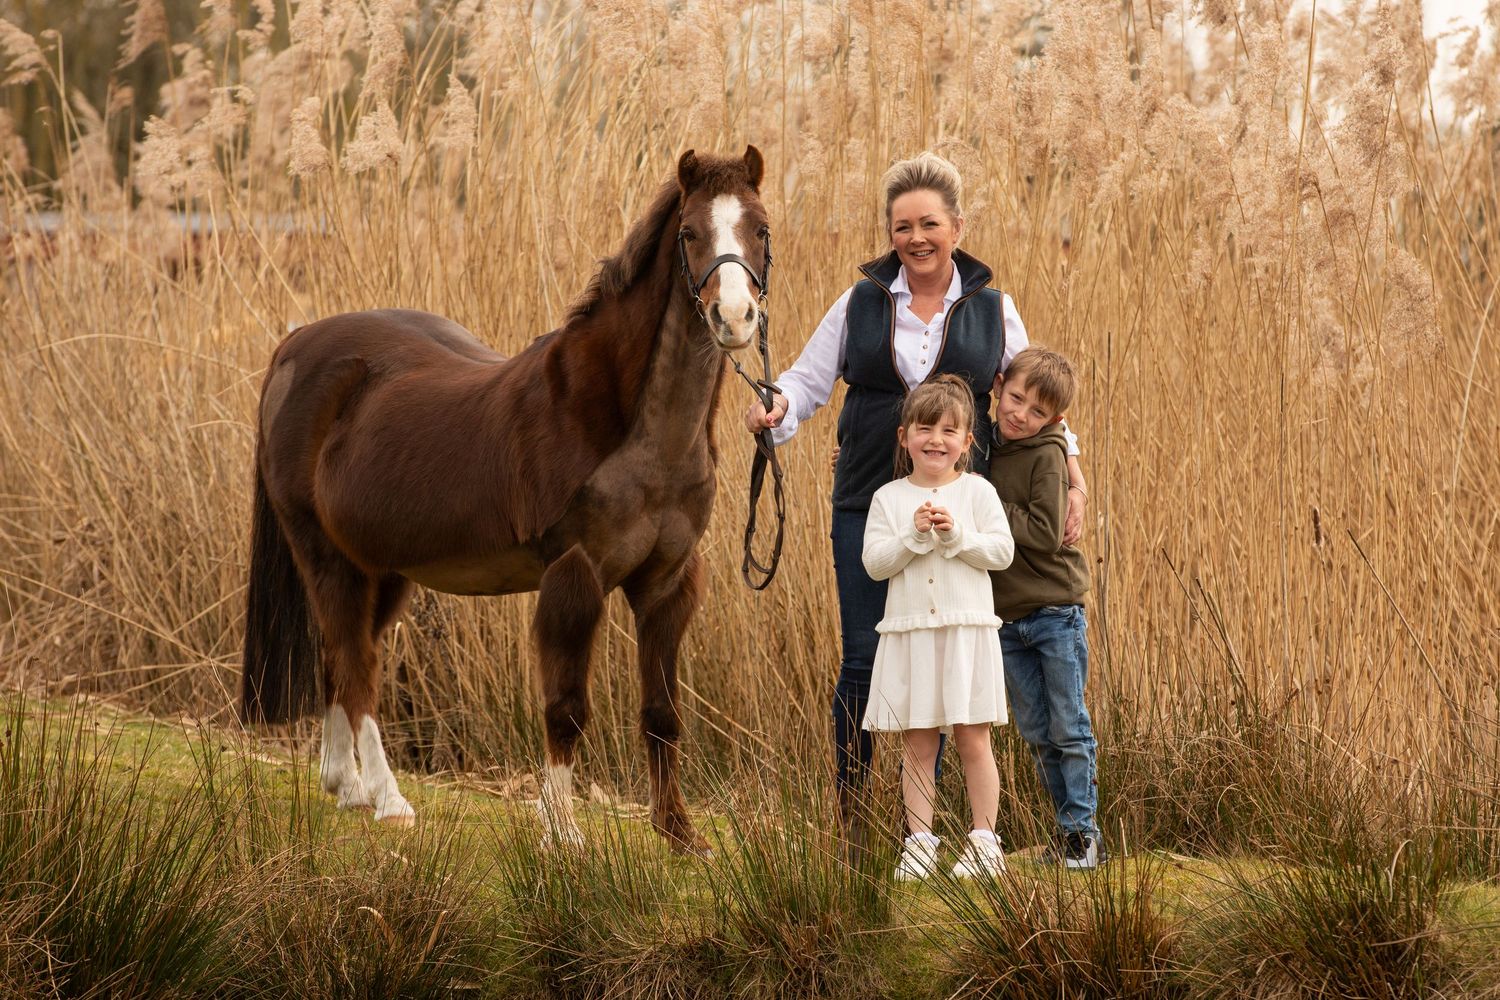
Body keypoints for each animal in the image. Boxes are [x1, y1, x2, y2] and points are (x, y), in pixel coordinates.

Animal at [240, 147, 770, 852]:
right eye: (689, 233)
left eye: (761, 229)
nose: (734, 319)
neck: (632, 431)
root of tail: (292, 347)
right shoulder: (574, 576)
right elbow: (567, 708)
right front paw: (562, 833)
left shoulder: (668, 582)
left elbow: (662, 710)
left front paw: (680, 834)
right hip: (324, 556)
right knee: (357, 666)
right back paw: (387, 799)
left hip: (379, 568)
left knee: (338, 655)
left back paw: (345, 787)